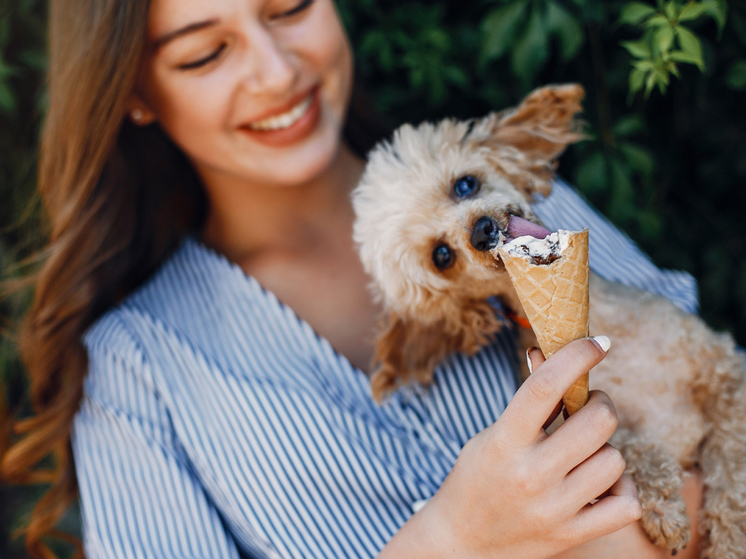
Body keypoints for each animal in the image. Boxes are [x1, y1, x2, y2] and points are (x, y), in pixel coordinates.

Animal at [352, 84, 744, 559]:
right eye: (441, 256)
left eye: (464, 184)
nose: (482, 231)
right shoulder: (586, 422)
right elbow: (630, 444)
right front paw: (664, 509)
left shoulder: (725, 374)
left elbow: (733, 470)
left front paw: (729, 542)